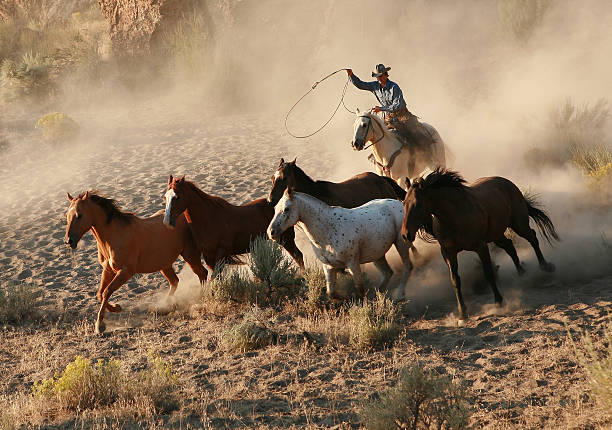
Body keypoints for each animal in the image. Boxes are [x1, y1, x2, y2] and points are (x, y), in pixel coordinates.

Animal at [63, 190, 208, 334]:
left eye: (79, 215)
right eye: (67, 216)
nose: (68, 241)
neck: (114, 236)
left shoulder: (126, 272)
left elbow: (107, 291)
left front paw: (100, 325)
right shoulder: (108, 270)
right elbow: (100, 294)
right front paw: (116, 308)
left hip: (190, 255)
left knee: (202, 274)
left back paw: (201, 299)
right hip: (164, 264)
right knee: (175, 281)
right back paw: (163, 308)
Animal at [163, 176, 304, 270]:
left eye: (177, 197)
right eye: (165, 197)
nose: (167, 221)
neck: (209, 219)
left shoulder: (221, 253)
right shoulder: (209, 257)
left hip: (286, 240)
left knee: (298, 256)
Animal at [268, 188, 412, 298]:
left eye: (286, 209)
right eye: (274, 209)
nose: (271, 232)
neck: (329, 230)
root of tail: (400, 203)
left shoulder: (352, 264)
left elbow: (360, 289)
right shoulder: (328, 266)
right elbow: (331, 293)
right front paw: (345, 298)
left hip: (401, 244)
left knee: (407, 267)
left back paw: (399, 295)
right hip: (377, 254)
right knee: (388, 273)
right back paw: (379, 296)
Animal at [400, 168, 560, 320]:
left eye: (417, 204)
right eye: (404, 203)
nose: (405, 235)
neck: (454, 216)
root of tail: (507, 183)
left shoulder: (481, 247)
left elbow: (488, 273)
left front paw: (498, 301)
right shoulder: (448, 252)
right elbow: (455, 280)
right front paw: (462, 313)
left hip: (519, 224)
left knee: (532, 238)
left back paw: (545, 267)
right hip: (497, 234)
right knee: (509, 246)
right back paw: (522, 273)